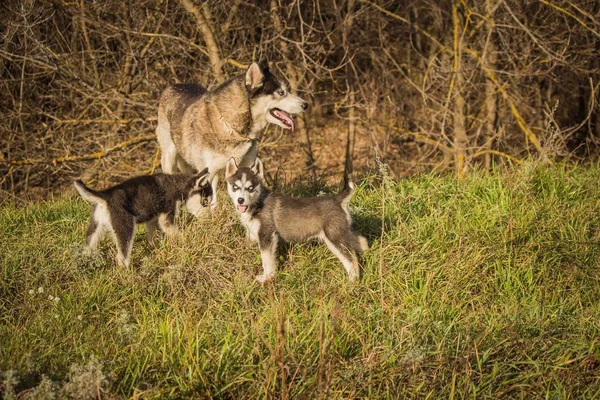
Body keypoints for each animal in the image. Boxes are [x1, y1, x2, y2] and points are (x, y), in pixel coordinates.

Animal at [74, 167, 212, 268]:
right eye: (205, 202)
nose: (210, 220)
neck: (179, 186)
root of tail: (106, 195)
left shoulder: (153, 220)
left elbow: (153, 236)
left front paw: (156, 248)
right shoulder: (166, 217)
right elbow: (177, 232)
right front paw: (186, 240)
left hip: (95, 228)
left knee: (87, 247)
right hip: (125, 226)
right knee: (122, 257)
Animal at [156, 61, 310, 209]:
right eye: (280, 92)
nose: (306, 105)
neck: (231, 128)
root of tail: (173, 86)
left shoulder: (248, 165)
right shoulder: (209, 171)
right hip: (170, 156)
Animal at [224, 157, 366, 282]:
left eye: (250, 188)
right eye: (235, 187)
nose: (240, 200)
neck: (259, 202)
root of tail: (337, 199)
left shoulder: (266, 235)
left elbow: (267, 260)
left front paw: (267, 278)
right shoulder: (256, 235)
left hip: (334, 237)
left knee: (352, 259)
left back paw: (352, 282)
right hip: (341, 233)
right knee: (362, 242)